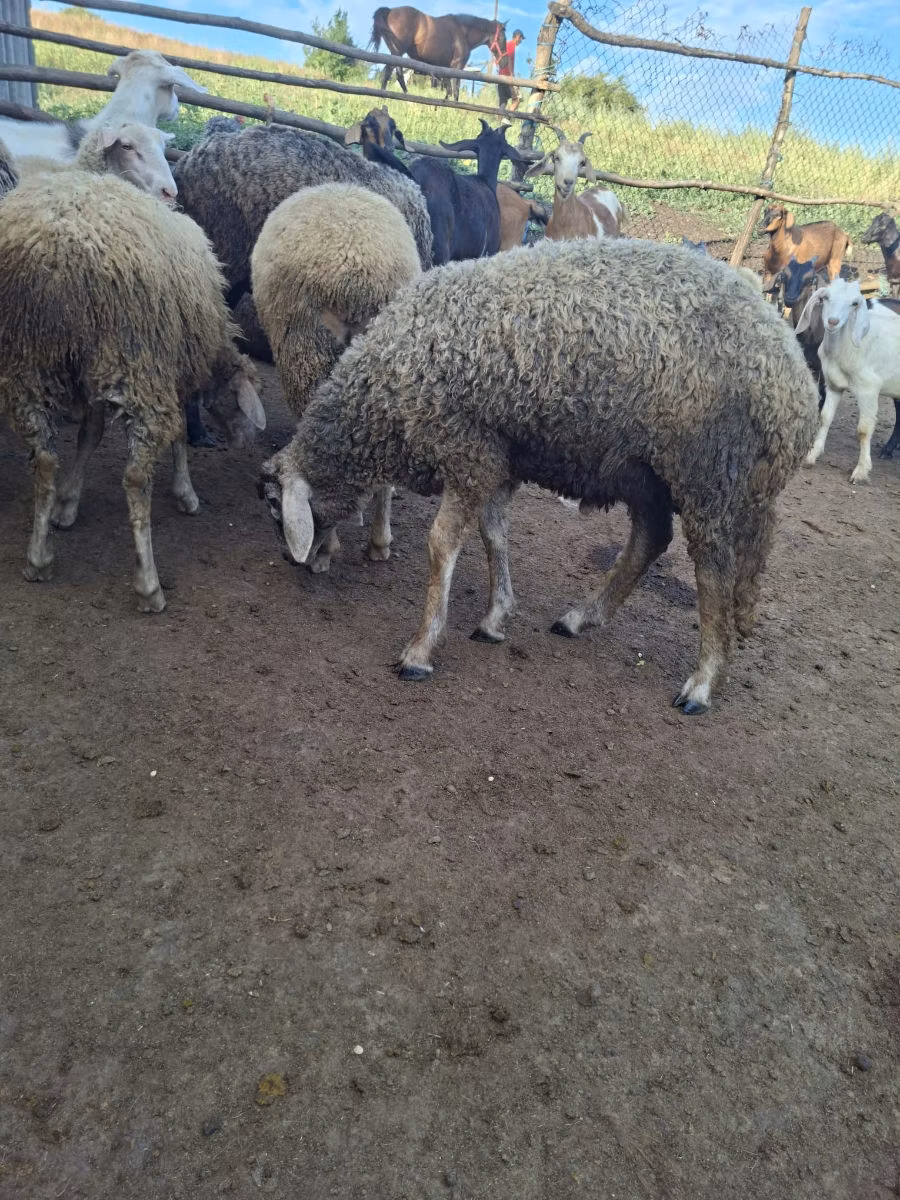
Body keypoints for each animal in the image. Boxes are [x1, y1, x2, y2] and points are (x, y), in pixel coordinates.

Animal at [0, 171, 266, 612]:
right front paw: (186, 494)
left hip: (28, 360)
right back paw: (149, 583)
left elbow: (89, 435)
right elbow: (179, 435)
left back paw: (38, 559)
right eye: (238, 403)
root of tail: (55, 255)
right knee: (137, 475)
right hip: (134, 354)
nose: (245, 444)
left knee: (45, 459)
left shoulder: (92, 380)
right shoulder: (175, 370)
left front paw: (66, 504)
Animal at [258, 238, 818, 715]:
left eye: (274, 506)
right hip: (647, 473)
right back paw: (581, 618)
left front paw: (420, 649)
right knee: (651, 538)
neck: (388, 386)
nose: (292, 561)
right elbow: (494, 536)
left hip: (711, 472)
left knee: (714, 574)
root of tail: (796, 383)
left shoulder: (467, 448)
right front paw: (495, 617)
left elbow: (443, 545)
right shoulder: (495, 458)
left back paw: (701, 683)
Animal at [797, 277, 900, 482]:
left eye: (854, 303)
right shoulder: (833, 384)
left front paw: (861, 471)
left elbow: (864, 430)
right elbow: (824, 417)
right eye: (825, 298)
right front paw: (812, 455)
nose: (833, 321)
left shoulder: (869, 388)